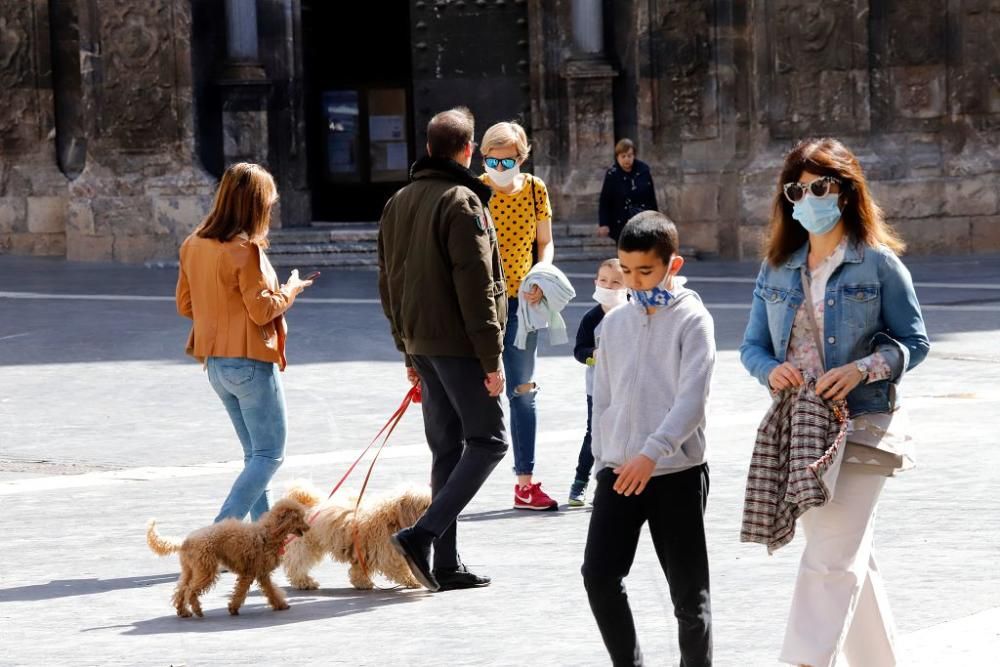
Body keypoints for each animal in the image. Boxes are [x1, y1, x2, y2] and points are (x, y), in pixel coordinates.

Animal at [146, 498, 310, 620]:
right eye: (299, 518)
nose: (308, 527)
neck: (268, 533)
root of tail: (186, 542)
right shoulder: (249, 573)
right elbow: (241, 592)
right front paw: (233, 608)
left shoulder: (261, 573)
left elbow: (270, 591)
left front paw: (280, 605)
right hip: (206, 570)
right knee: (190, 590)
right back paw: (197, 610)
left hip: (190, 569)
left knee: (181, 590)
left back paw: (183, 612)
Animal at [286, 486, 434, 588]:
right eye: (425, 505)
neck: (392, 519)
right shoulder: (387, 556)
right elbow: (400, 569)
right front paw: (413, 580)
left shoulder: (364, 553)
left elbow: (359, 570)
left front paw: (361, 582)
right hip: (306, 546)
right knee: (296, 563)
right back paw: (304, 582)